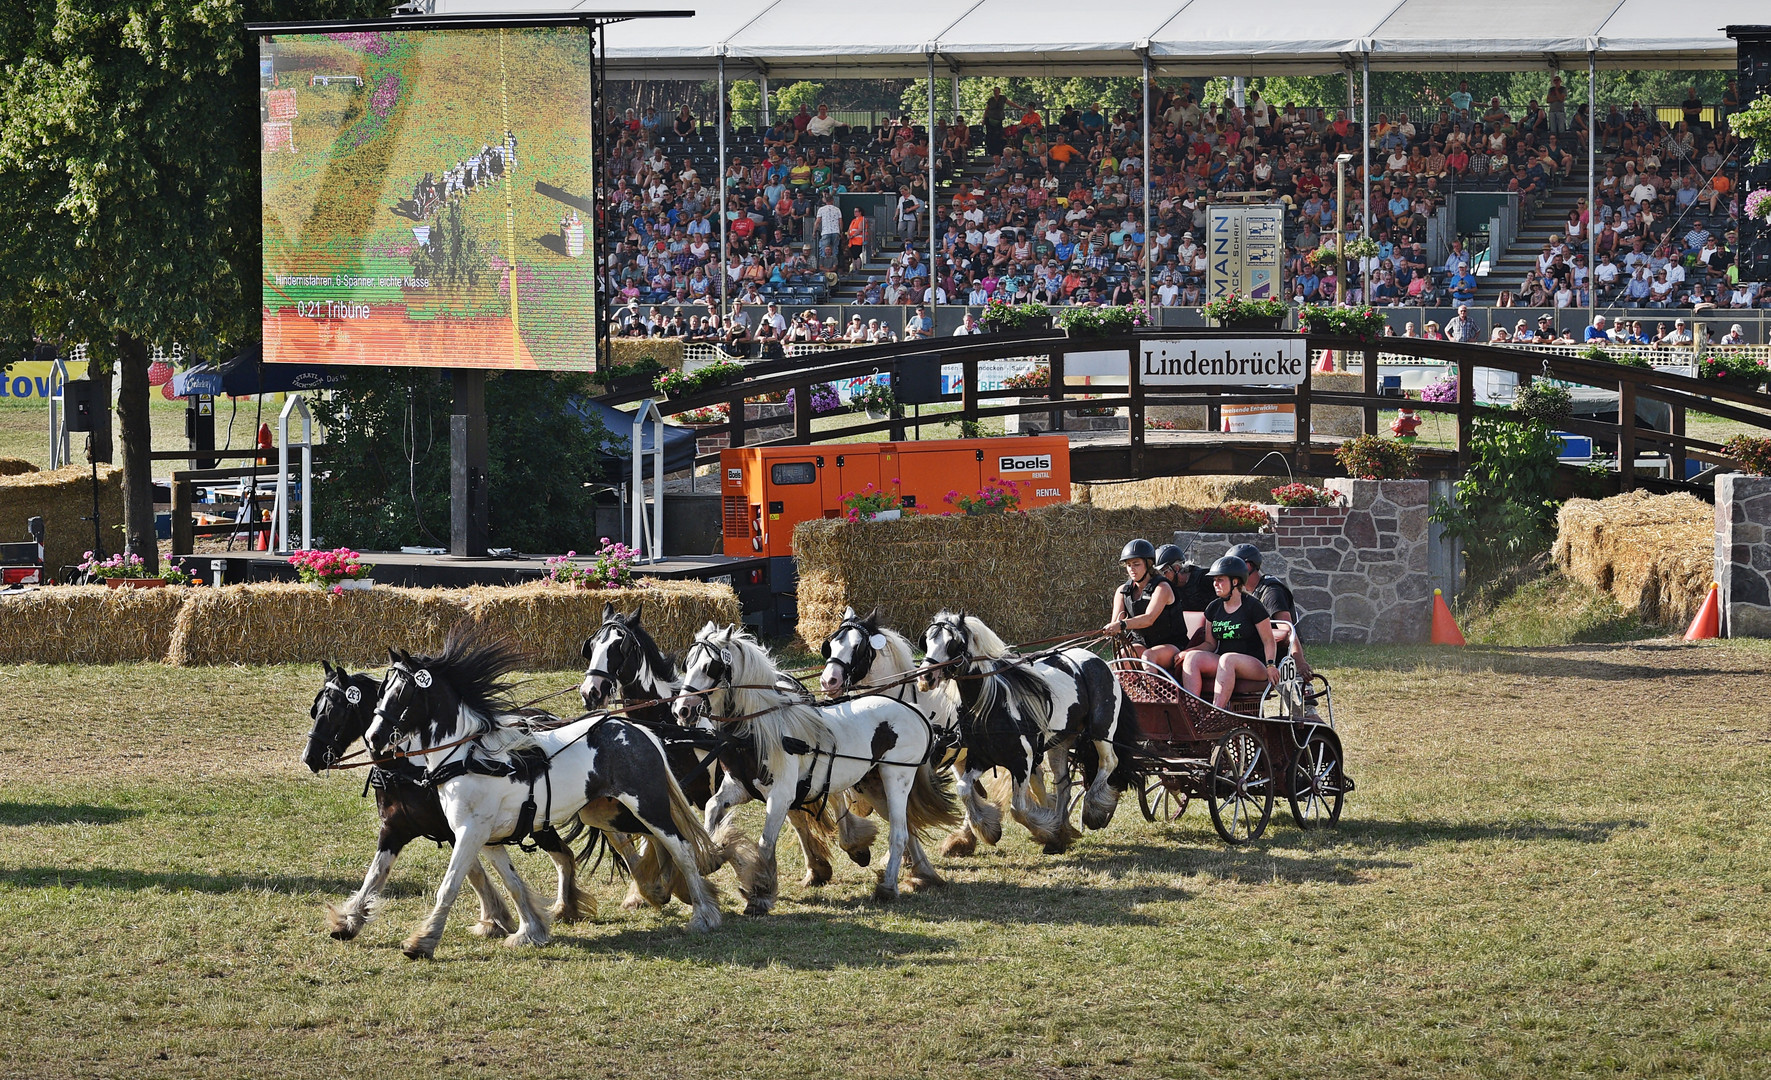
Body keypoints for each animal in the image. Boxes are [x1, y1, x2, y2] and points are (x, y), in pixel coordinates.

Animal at [363, 619, 722, 956]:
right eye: (381, 691)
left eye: (402, 693)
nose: (373, 737)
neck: (468, 757)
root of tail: (636, 729)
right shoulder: (488, 839)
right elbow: (512, 883)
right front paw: (529, 930)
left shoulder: (469, 832)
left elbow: (449, 885)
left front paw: (423, 941)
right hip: (604, 812)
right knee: (654, 841)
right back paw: (660, 889)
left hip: (647, 804)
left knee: (681, 847)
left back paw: (703, 914)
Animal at [672, 623, 956, 906]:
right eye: (688, 663)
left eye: (710, 667)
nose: (682, 709)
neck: (762, 730)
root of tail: (915, 712)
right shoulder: (740, 788)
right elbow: (712, 806)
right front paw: (711, 855)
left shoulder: (781, 796)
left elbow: (765, 843)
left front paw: (759, 893)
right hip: (873, 784)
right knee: (906, 826)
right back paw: (921, 873)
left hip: (896, 776)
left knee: (898, 833)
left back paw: (887, 887)